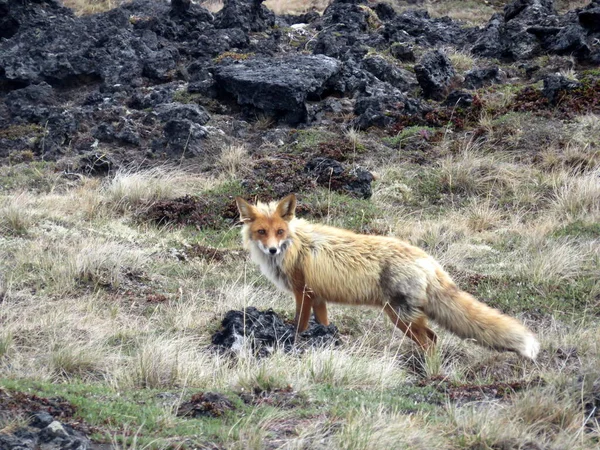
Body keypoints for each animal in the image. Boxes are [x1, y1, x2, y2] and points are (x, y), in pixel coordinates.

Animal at [237, 193, 540, 358]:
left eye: (280, 231)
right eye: (262, 232)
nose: (272, 249)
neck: (296, 246)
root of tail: (429, 260)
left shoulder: (303, 292)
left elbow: (299, 326)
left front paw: (295, 342)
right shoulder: (319, 297)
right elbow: (324, 324)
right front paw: (327, 339)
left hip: (400, 316)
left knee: (430, 341)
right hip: (400, 317)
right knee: (433, 338)